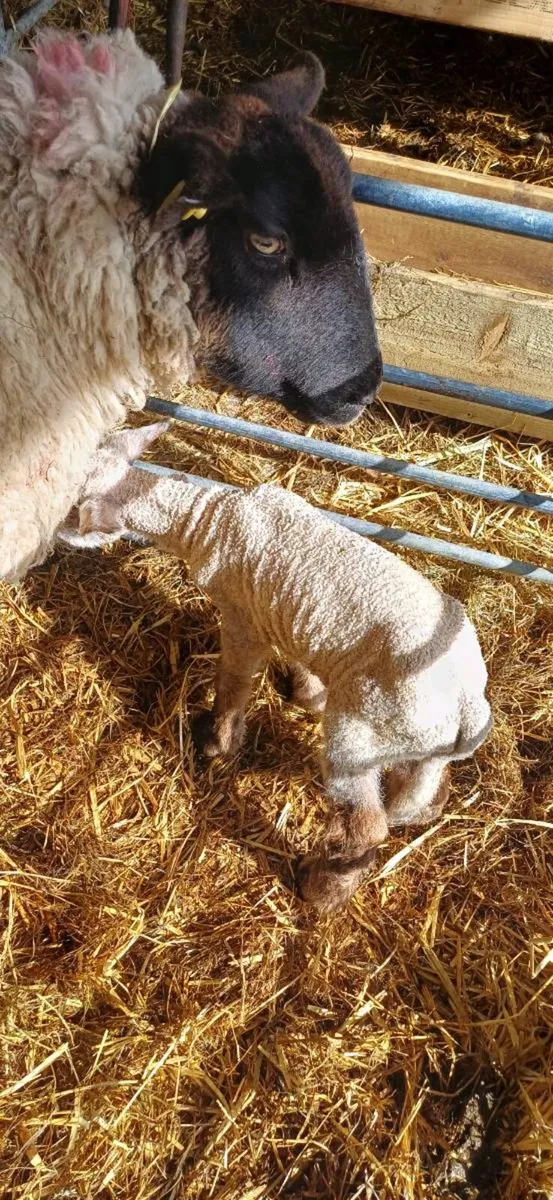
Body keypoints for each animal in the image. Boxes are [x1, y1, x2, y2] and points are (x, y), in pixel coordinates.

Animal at [75, 422, 492, 912]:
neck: (206, 519)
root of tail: (467, 708)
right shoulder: (279, 610)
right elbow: (295, 654)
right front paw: (306, 691)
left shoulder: (241, 616)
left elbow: (234, 682)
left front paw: (217, 742)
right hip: (414, 743)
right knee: (426, 787)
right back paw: (418, 813)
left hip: (358, 736)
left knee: (364, 826)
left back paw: (318, 889)